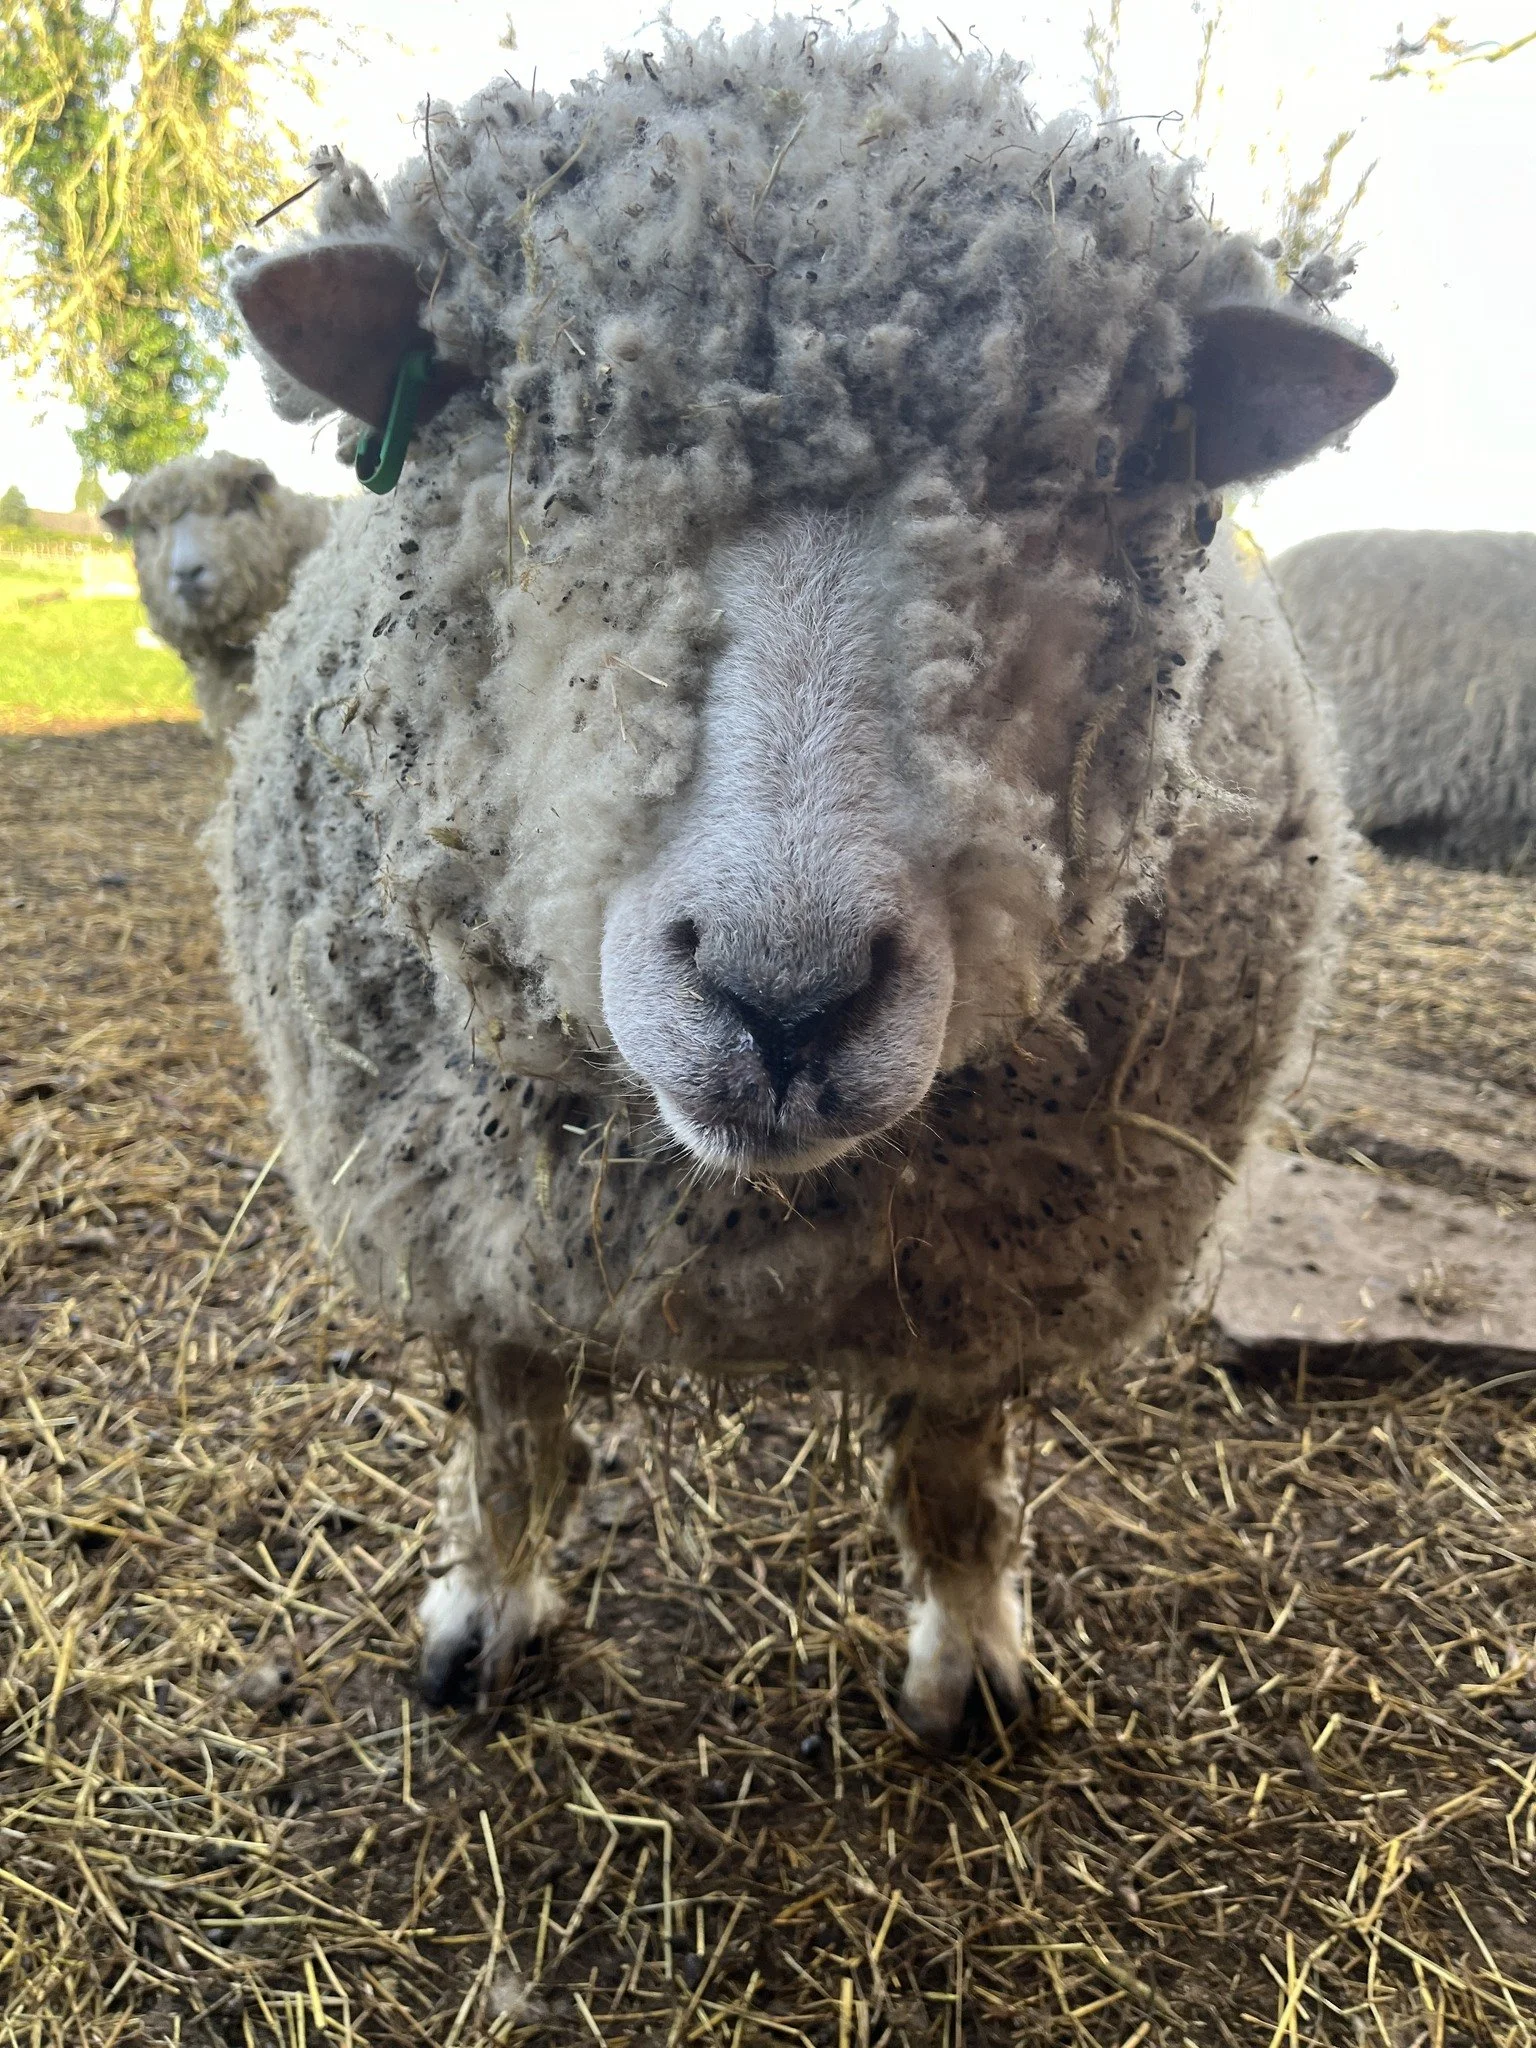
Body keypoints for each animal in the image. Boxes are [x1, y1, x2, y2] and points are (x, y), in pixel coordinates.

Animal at [216, 19, 1393, 1745]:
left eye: (1096, 470)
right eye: (530, 441)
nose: (784, 997)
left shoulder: (987, 1284)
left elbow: (956, 1471)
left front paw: (970, 1652)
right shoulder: (475, 1238)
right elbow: (510, 1432)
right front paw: (485, 1610)